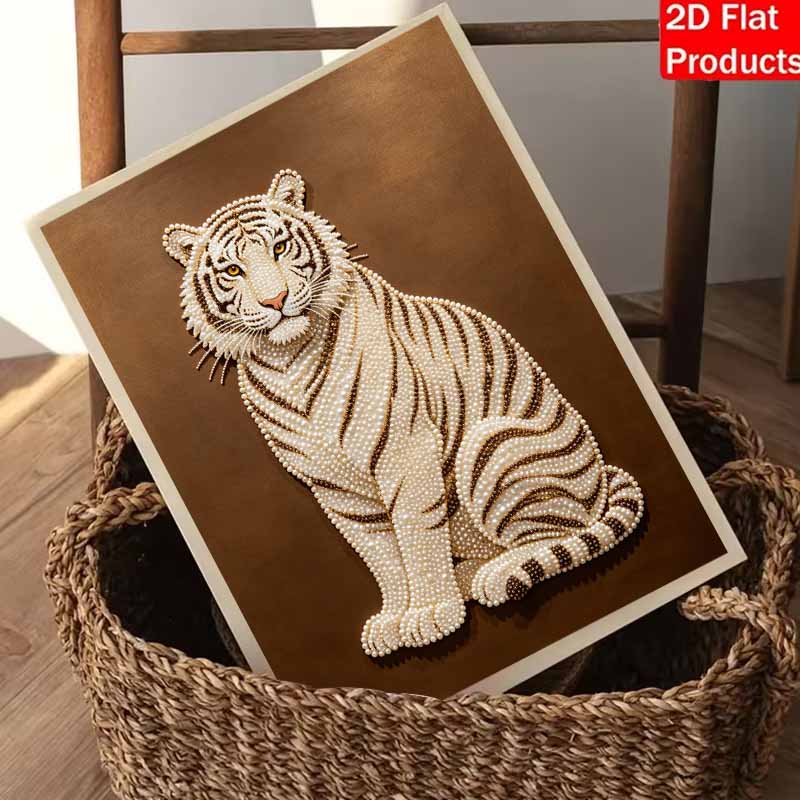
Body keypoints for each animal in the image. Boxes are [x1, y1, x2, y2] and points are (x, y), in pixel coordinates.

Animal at [163, 168, 644, 658]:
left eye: (279, 248)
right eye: (233, 270)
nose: (275, 301)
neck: (288, 359)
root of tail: (603, 477)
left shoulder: (405, 453)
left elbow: (416, 535)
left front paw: (432, 613)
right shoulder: (337, 486)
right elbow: (381, 553)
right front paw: (395, 619)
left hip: (494, 447)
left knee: (560, 533)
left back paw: (492, 577)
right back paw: (467, 577)